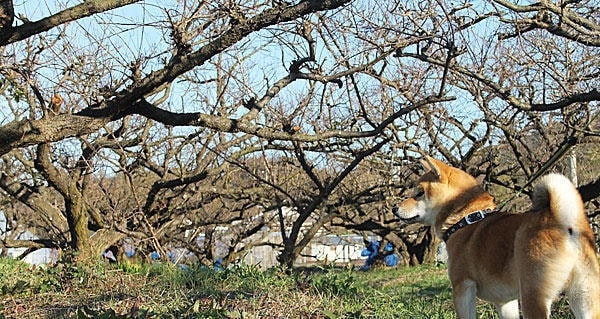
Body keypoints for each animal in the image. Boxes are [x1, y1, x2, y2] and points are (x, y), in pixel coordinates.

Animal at [394, 158, 600, 319]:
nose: (395, 207)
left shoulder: (462, 287)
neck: (465, 219)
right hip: (583, 296)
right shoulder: (505, 302)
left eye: (419, 193)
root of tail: (564, 224)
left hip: (533, 296)